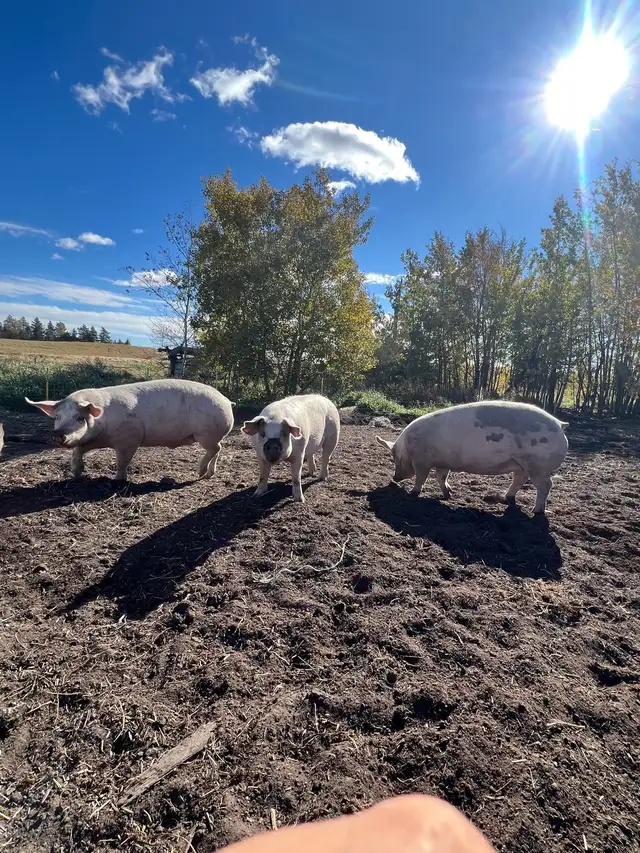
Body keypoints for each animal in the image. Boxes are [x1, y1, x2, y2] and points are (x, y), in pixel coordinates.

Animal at [26, 378, 234, 481]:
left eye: (80, 418)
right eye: (58, 417)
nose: (58, 434)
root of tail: (226, 400)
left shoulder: (130, 438)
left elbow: (122, 461)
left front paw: (117, 479)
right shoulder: (94, 440)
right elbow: (77, 451)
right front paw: (77, 474)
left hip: (206, 433)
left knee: (215, 449)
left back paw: (199, 473)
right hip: (212, 435)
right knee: (219, 449)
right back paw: (209, 474)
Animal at [376, 401, 568, 515]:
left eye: (394, 456)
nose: (394, 478)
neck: (408, 446)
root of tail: (560, 425)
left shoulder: (421, 461)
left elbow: (421, 478)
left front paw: (412, 492)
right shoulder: (442, 462)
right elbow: (441, 477)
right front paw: (448, 494)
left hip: (538, 465)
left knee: (546, 485)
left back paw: (536, 511)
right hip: (522, 464)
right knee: (519, 479)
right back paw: (506, 498)